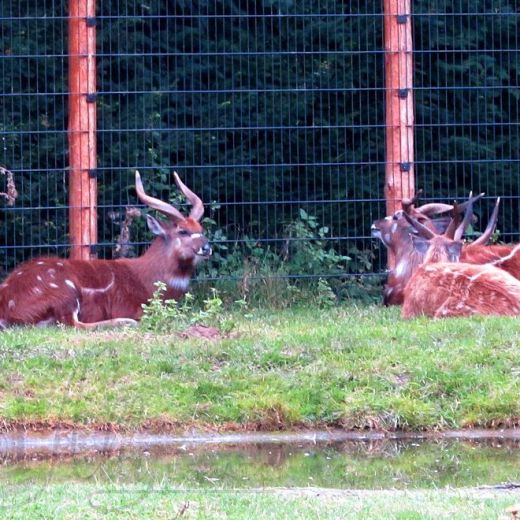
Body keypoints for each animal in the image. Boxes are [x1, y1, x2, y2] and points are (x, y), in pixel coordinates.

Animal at [0, 171, 211, 330]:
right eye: (182, 231)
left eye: (201, 229)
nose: (207, 247)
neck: (148, 277)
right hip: (66, 293)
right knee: (73, 324)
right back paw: (125, 322)